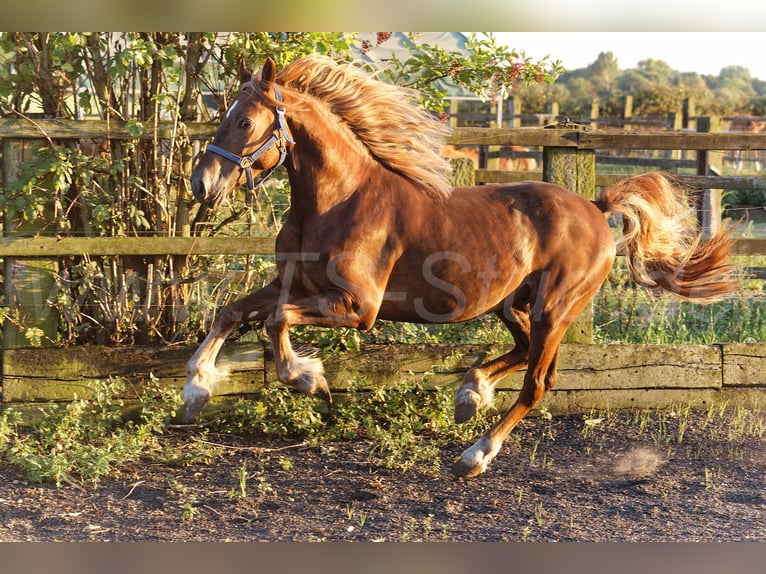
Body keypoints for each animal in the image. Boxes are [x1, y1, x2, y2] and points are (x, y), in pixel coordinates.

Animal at [182, 54, 737, 478]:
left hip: (554, 309)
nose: (201, 184)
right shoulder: (292, 281)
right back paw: (471, 392)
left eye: (245, 121)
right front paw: (196, 390)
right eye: (224, 113)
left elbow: (277, 321)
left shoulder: (359, 307)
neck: (338, 200)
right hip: (511, 304)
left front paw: (307, 377)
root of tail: (598, 210)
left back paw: (475, 454)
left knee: (538, 383)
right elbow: (233, 313)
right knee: (521, 352)